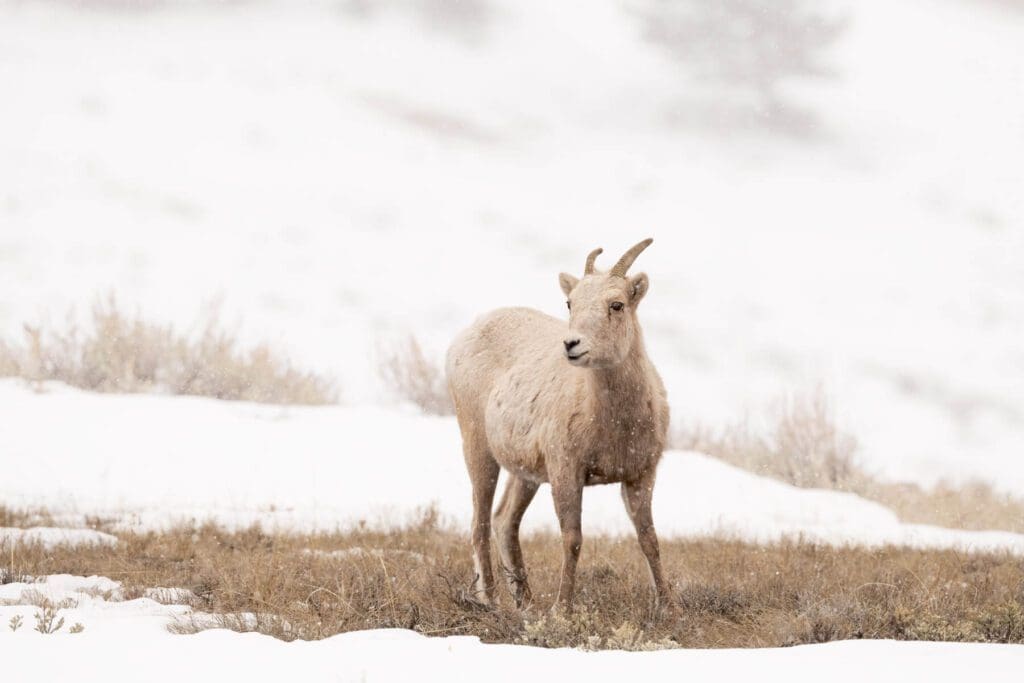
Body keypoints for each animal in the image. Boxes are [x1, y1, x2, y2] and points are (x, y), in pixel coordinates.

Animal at [444, 239, 667, 610]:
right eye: (570, 302)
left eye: (617, 304)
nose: (572, 345)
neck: (614, 421)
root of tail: (465, 335)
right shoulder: (566, 471)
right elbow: (572, 538)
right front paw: (561, 609)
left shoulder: (641, 474)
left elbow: (649, 538)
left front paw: (667, 606)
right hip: (477, 448)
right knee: (480, 523)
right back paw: (492, 601)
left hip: (525, 475)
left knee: (504, 521)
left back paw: (525, 602)